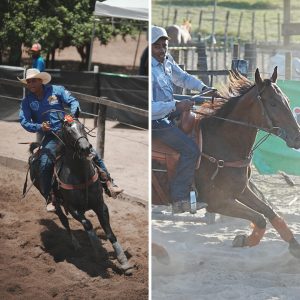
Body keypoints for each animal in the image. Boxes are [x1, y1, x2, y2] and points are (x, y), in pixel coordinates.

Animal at [28, 110, 133, 274]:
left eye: (82, 127)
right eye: (68, 131)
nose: (85, 148)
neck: (80, 175)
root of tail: (36, 152)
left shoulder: (100, 205)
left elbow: (109, 232)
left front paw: (124, 262)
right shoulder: (73, 208)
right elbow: (88, 224)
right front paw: (97, 250)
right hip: (55, 203)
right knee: (64, 221)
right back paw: (75, 244)